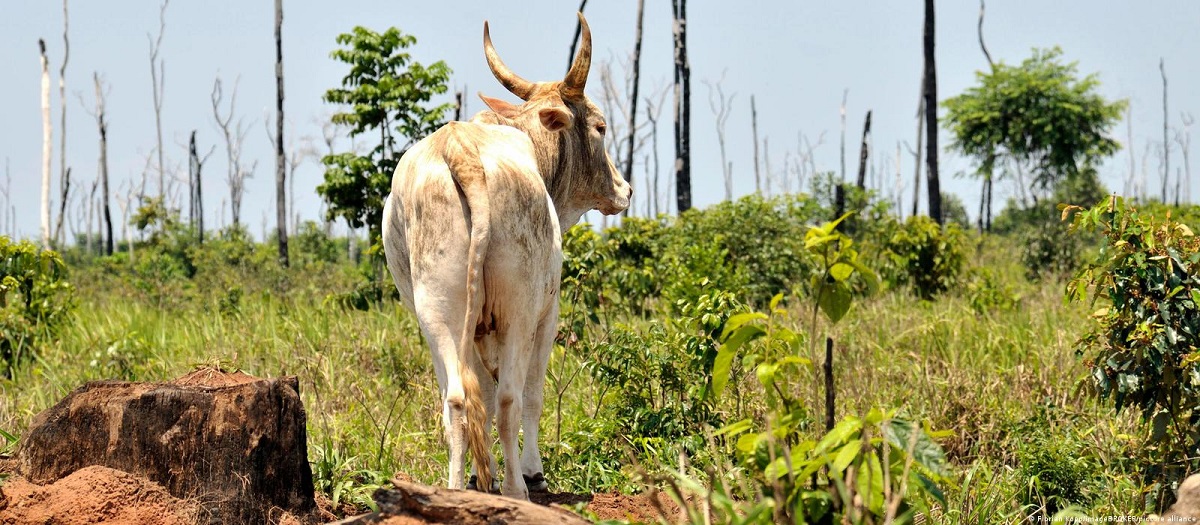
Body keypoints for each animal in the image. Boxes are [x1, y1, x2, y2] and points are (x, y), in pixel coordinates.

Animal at [384, 13, 633, 501]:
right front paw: (533, 473)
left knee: (458, 399)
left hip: (437, 311)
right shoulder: (547, 313)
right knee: (508, 401)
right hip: (518, 309)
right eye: (600, 126)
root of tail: (459, 150)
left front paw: (487, 477)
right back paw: (519, 489)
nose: (625, 189)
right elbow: (533, 395)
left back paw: (460, 489)